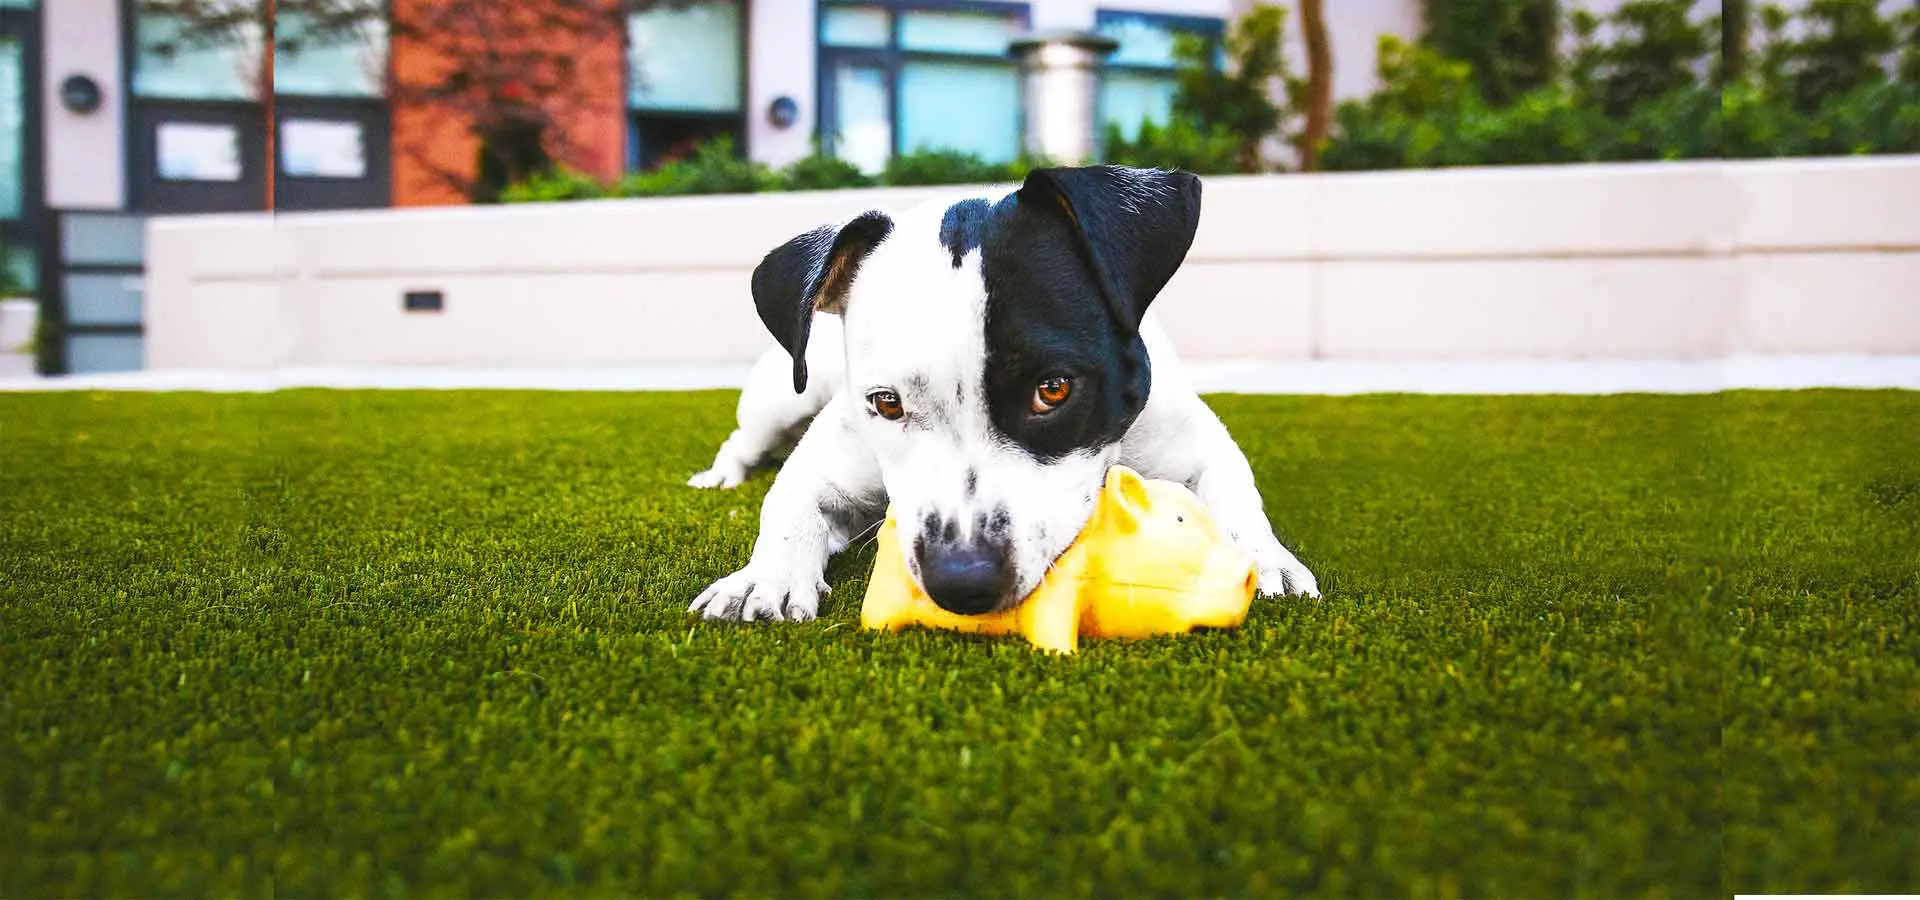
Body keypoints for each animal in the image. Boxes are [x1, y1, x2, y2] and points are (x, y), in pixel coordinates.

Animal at [683, 165, 1313, 621]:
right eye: (886, 403)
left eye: (1053, 390)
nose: (962, 581)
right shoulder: (829, 460)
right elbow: (789, 504)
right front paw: (762, 578)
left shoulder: (1195, 442)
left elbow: (1236, 492)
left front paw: (1263, 558)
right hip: (782, 394)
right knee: (743, 438)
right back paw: (721, 476)